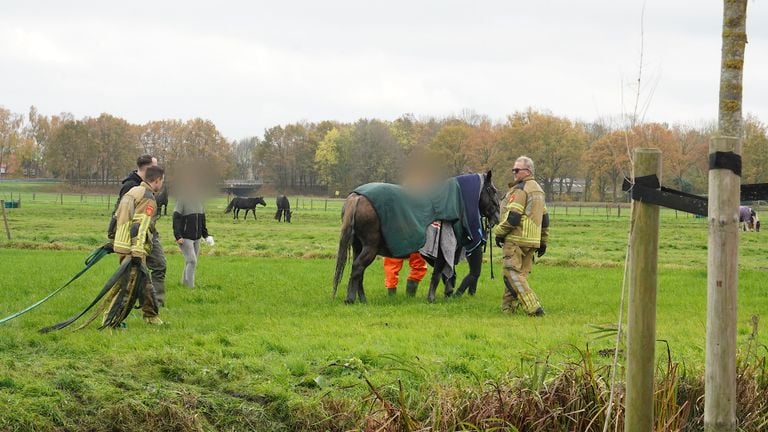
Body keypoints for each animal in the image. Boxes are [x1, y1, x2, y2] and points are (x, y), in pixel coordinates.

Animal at [333, 171, 500, 304]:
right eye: (492, 190)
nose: (497, 217)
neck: (456, 202)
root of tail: (358, 197)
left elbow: (447, 274)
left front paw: (448, 293)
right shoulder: (441, 251)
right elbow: (438, 274)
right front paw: (432, 298)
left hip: (358, 246)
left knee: (358, 271)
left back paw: (362, 299)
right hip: (370, 247)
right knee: (357, 268)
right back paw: (351, 298)